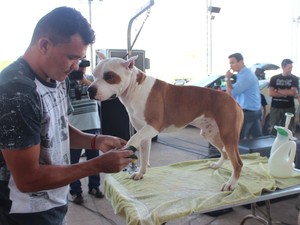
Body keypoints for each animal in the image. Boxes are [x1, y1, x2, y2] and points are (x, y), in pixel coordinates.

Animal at [89, 52, 244, 192]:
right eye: (94, 74)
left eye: (109, 76)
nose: (90, 89)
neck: (135, 88)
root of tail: (232, 100)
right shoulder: (144, 133)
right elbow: (144, 156)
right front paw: (140, 173)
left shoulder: (153, 126)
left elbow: (133, 139)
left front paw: (127, 150)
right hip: (210, 134)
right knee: (224, 153)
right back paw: (218, 165)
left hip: (228, 136)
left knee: (237, 163)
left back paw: (231, 184)